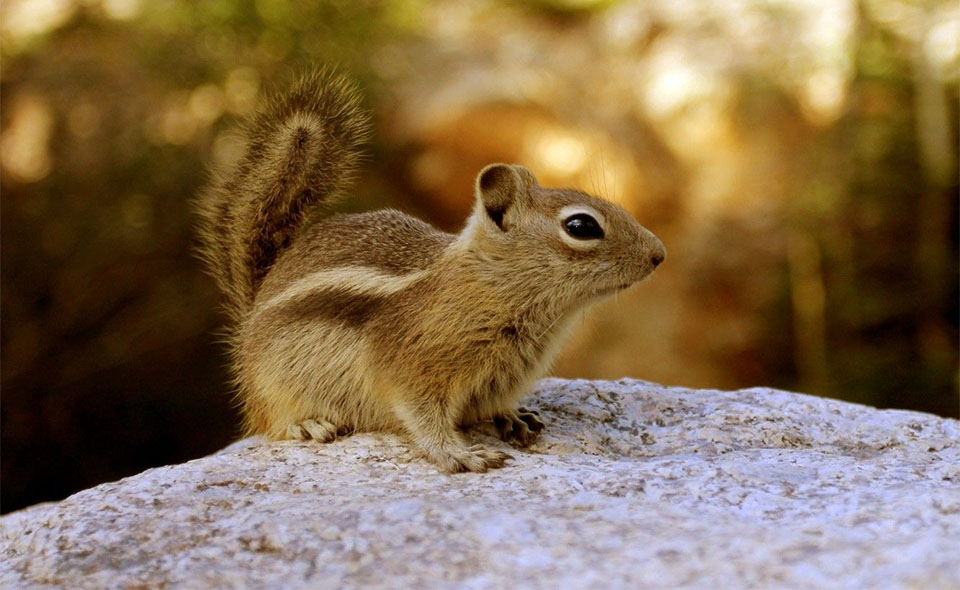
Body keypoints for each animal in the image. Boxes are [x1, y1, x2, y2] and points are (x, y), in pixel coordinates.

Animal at [195, 69, 665, 473]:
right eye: (581, 226)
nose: (659, 253)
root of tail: (251, 313)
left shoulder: (501, 377)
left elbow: (494, 405)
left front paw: (513, 417)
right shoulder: (413, 367)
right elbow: (422, 417)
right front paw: (460, 454)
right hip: (272, 386)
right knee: (271, 422)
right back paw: (305, 424)